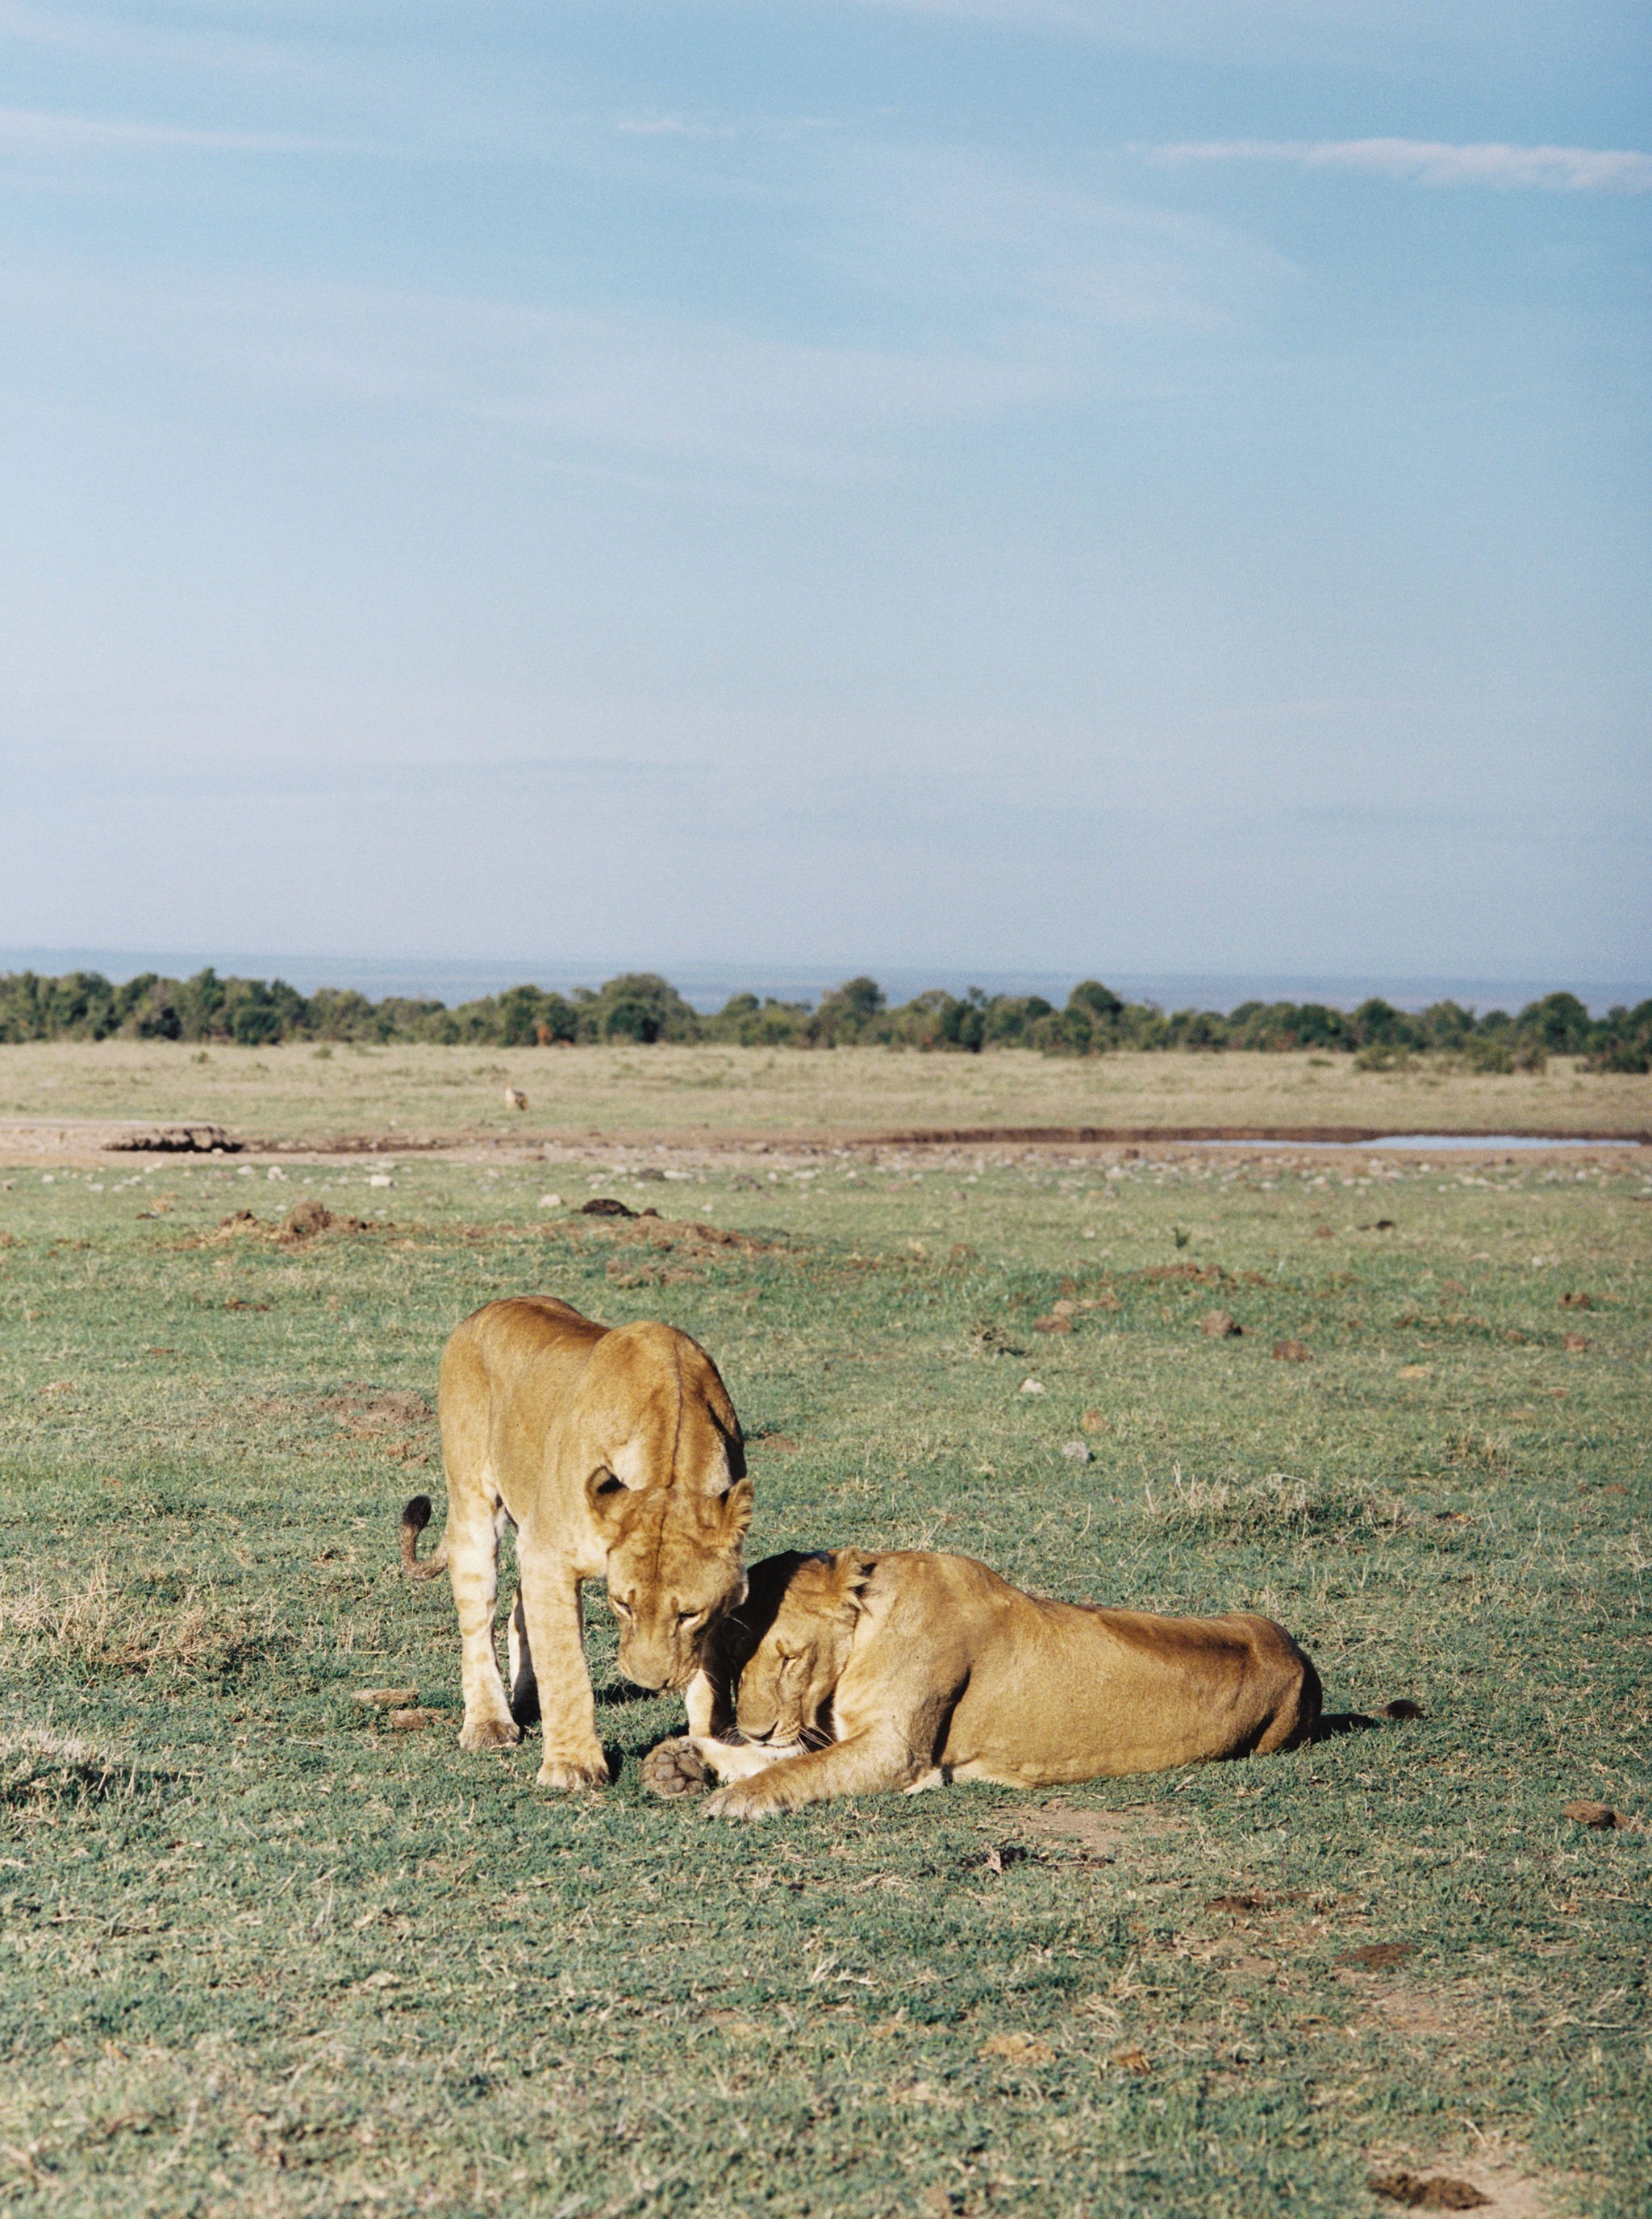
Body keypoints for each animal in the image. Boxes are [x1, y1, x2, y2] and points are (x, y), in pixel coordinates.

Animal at [401, 1296, 751, 1790]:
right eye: (623, 1605)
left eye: (688, 1614)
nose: (652, 1683)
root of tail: (490, 1307)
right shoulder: (551, 1556)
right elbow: (567, 1671)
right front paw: (572, 1767)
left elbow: (710, 1677)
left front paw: (699, 1754)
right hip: (473, 1502)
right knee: (478, 1621)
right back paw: (490, 1724)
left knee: (520, 1606)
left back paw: (527, 1701)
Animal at [640, 1548, 1321, 1818]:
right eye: (734, 1661)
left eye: (789, 1658)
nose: (756, 1725)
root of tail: (1297, 1655)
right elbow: (772, 1757)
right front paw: (680, 1762)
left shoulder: (900, 1752)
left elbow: (797, 1768)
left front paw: (736, 1796)